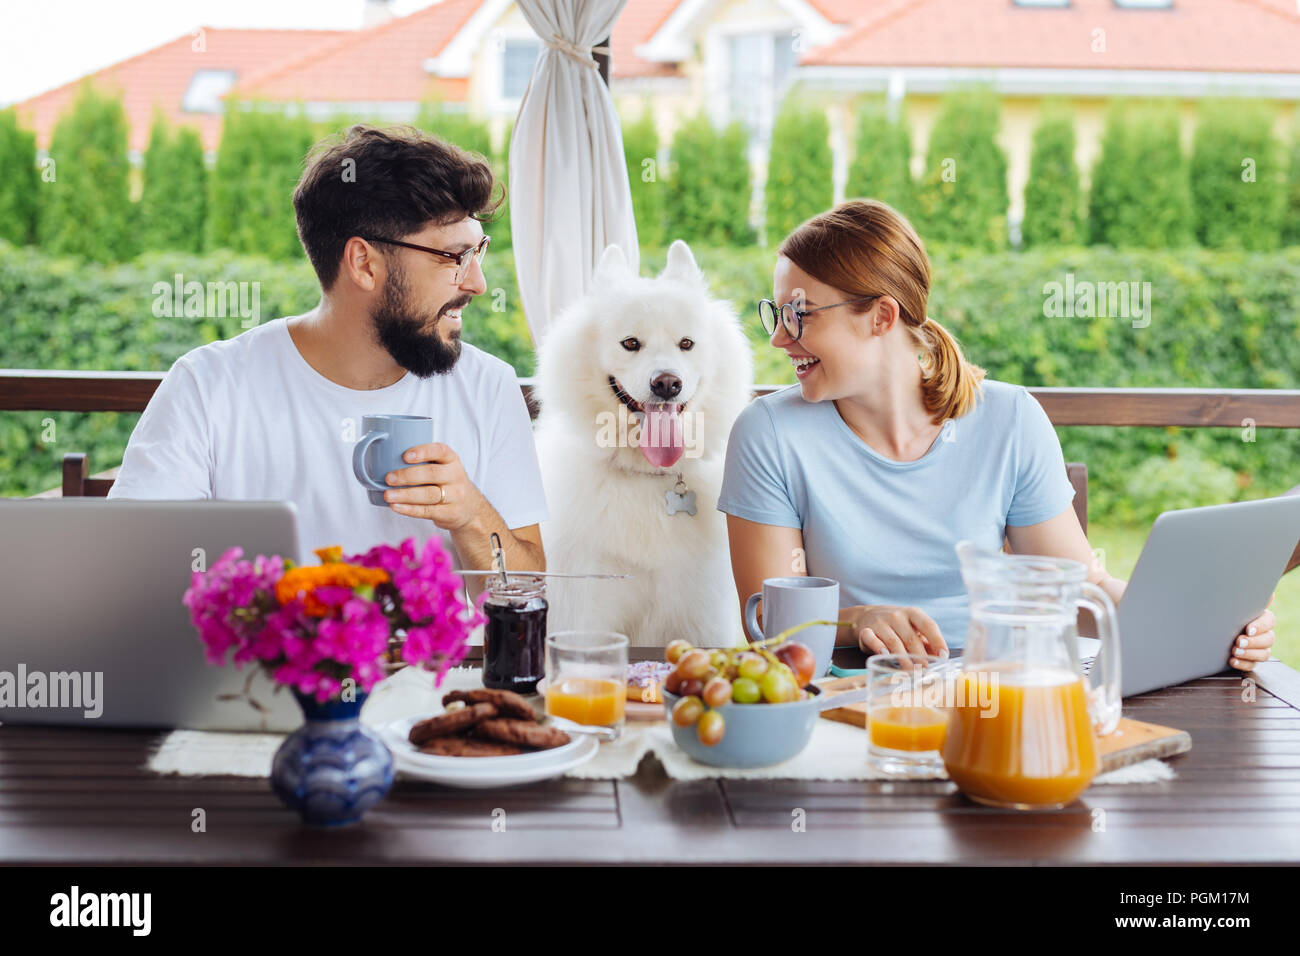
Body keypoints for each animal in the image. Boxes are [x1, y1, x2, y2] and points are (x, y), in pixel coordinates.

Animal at [535, 238, 759, 650]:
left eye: (686, 343)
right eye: (630, 343)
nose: (667, 383)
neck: (646, 476)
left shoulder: (698, 617)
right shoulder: (582, 611)